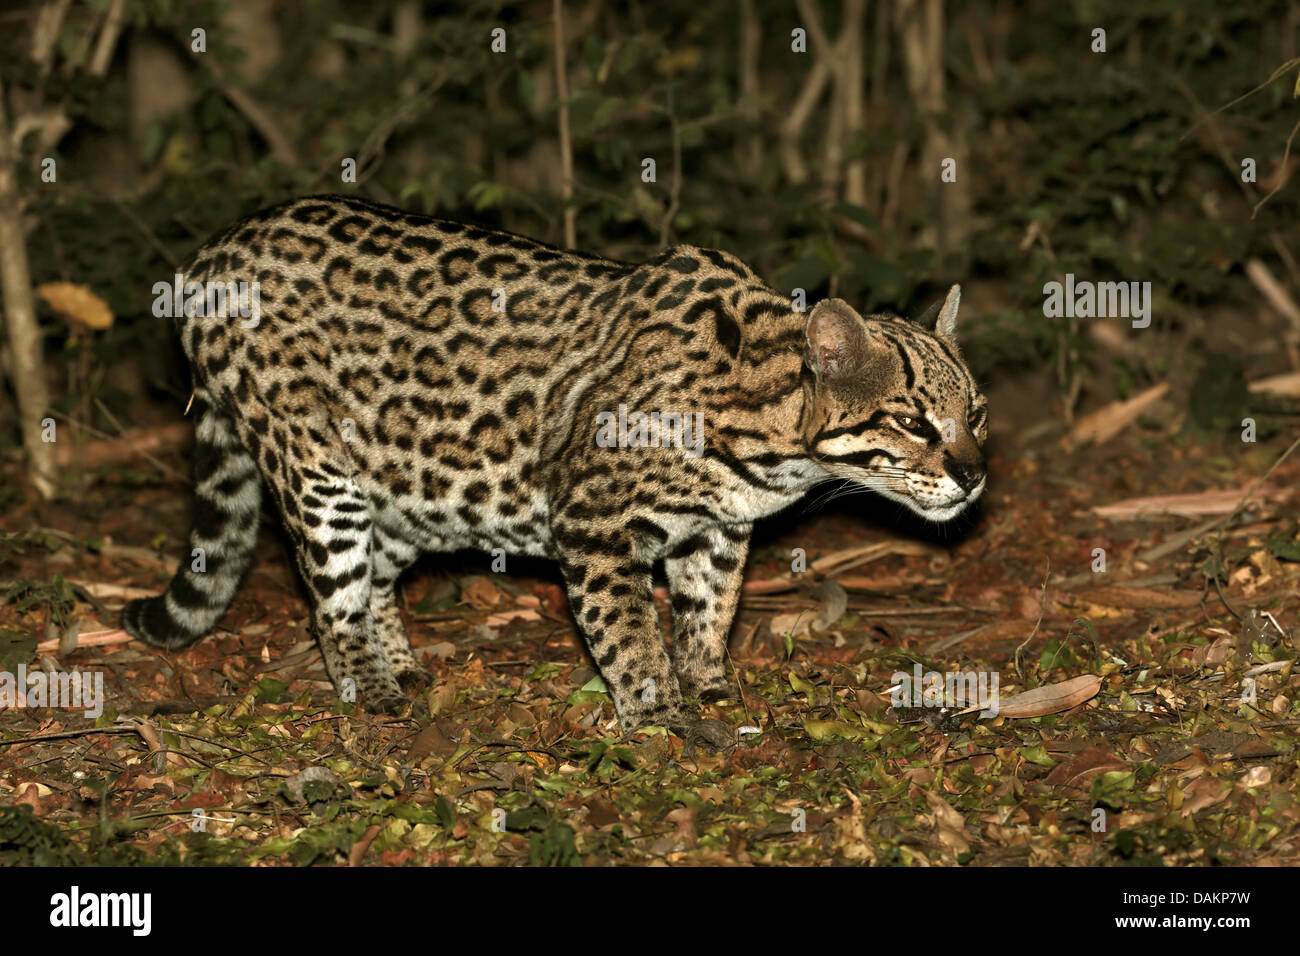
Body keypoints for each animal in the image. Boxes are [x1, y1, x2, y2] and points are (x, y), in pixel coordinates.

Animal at [126, 195, 987, 749]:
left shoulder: (717, 529)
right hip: (318, 473)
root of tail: (213, 252)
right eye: (912, 422)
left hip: (409, 489)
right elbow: (629, 633)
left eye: (976, 413)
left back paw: (400, 666)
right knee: (332, 606)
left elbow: (711, 608)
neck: (768, 439)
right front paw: (658, 716)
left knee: (374, 583)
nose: (976, 477)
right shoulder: (596, 522)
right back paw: (371, 691)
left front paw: (708, 682)